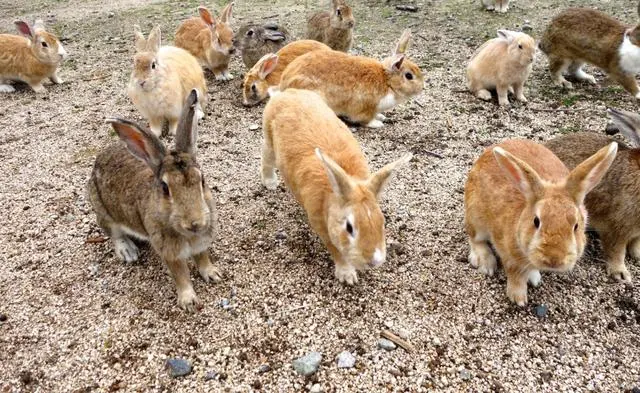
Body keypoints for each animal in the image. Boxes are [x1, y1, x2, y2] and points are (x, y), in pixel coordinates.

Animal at [86, 90, 220, 310]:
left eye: (202, 180)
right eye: (165, 188)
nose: (195, 223)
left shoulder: (201, 243)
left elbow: (202, 258)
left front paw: (213, 274)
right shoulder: (169, 253)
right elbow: (181, 275)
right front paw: (188, 301)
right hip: (103, 211)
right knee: (114, 233)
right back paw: (128, 252)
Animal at [262, 88, 412, 284]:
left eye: (382, 221)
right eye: (349, 227)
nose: (374, 261)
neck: (331, 196)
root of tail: (286, 93)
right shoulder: (322, 226)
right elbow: (335, 250)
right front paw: (347, 276)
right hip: (269, 138)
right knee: (267, 158)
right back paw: (270, 182)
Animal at [278, 30, 420, 129]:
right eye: (409, 76)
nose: (421, 88)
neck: (387, 81)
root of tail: (284, 84)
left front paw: (381, 116)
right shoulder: (365, 106)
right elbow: (364, 119)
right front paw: (377, 124)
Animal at [462, 139, 616, 304]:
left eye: (576, 226)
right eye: (536, 221)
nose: (554, 259)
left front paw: (534, 278)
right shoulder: (507, 253)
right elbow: (515, 274)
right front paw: (518, 299)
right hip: (476, 218)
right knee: (474, 238)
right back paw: (485, 262)